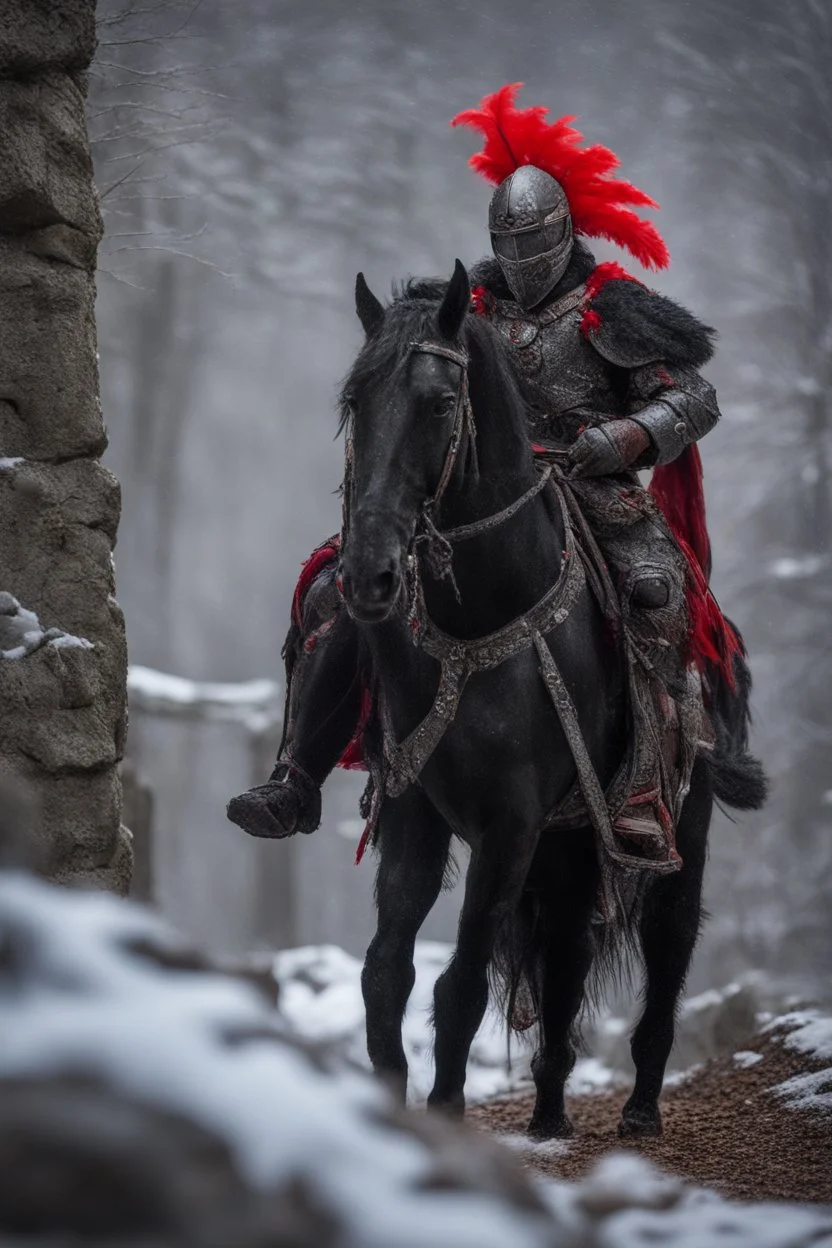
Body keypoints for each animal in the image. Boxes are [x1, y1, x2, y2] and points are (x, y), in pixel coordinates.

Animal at [336, 258, 743, 1138]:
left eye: (439, 403)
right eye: (356, 402)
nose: (368, 575)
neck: (479, 619)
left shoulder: (510, 824)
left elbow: (459, 984)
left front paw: (447, 1112)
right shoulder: (418, 815)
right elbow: (386, 973)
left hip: (670, 838)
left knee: (667, 949)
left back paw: (640, 1107)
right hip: (569, 849)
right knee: (564, 962)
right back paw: (551, 1108)